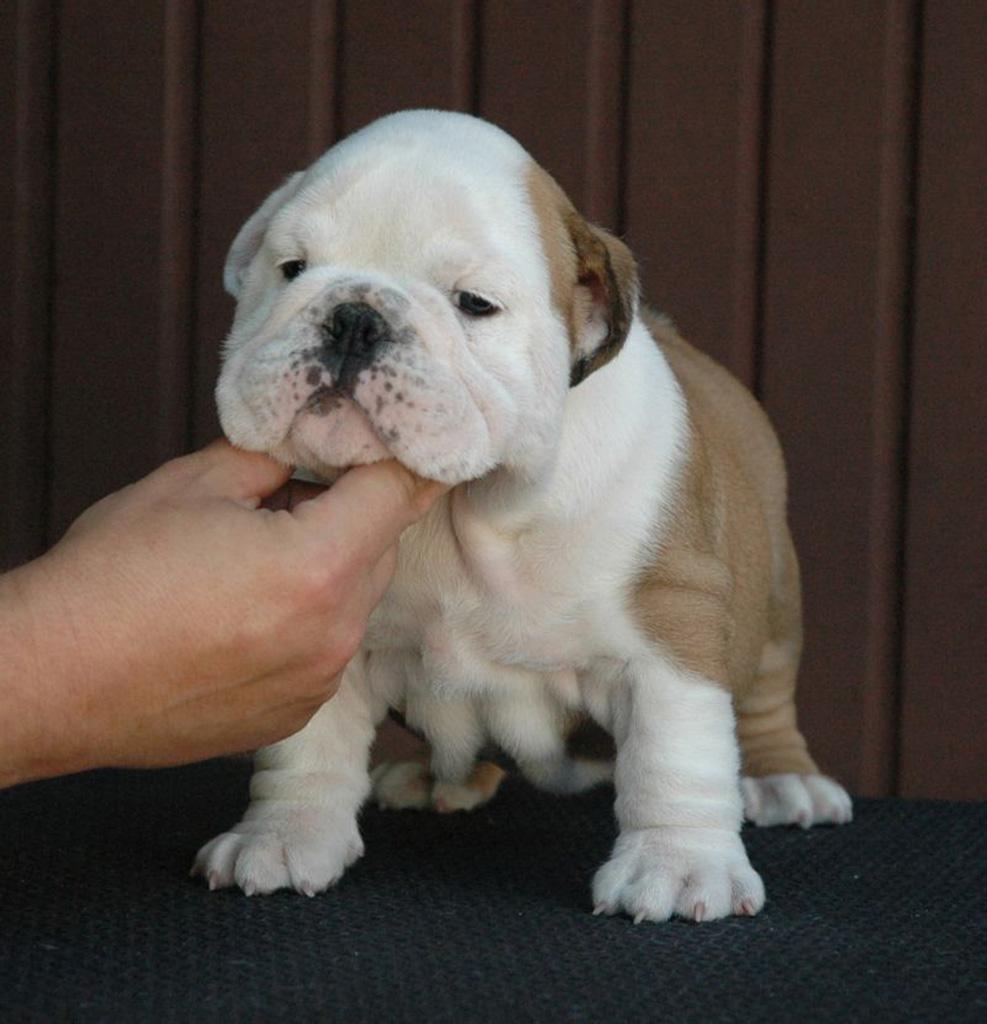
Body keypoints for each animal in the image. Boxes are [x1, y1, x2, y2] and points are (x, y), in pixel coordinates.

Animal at [192, 110, 847, 921]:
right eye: (290, 269)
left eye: (474, 303)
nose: (353, 317)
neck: (461, 512)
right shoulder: (322, 635)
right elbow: (304, 747)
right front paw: (283, 835)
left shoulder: (671, 632)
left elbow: (677, 754)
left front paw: (679, 864)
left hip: (776, 599)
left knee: (766, 695)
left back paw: (784, 779)